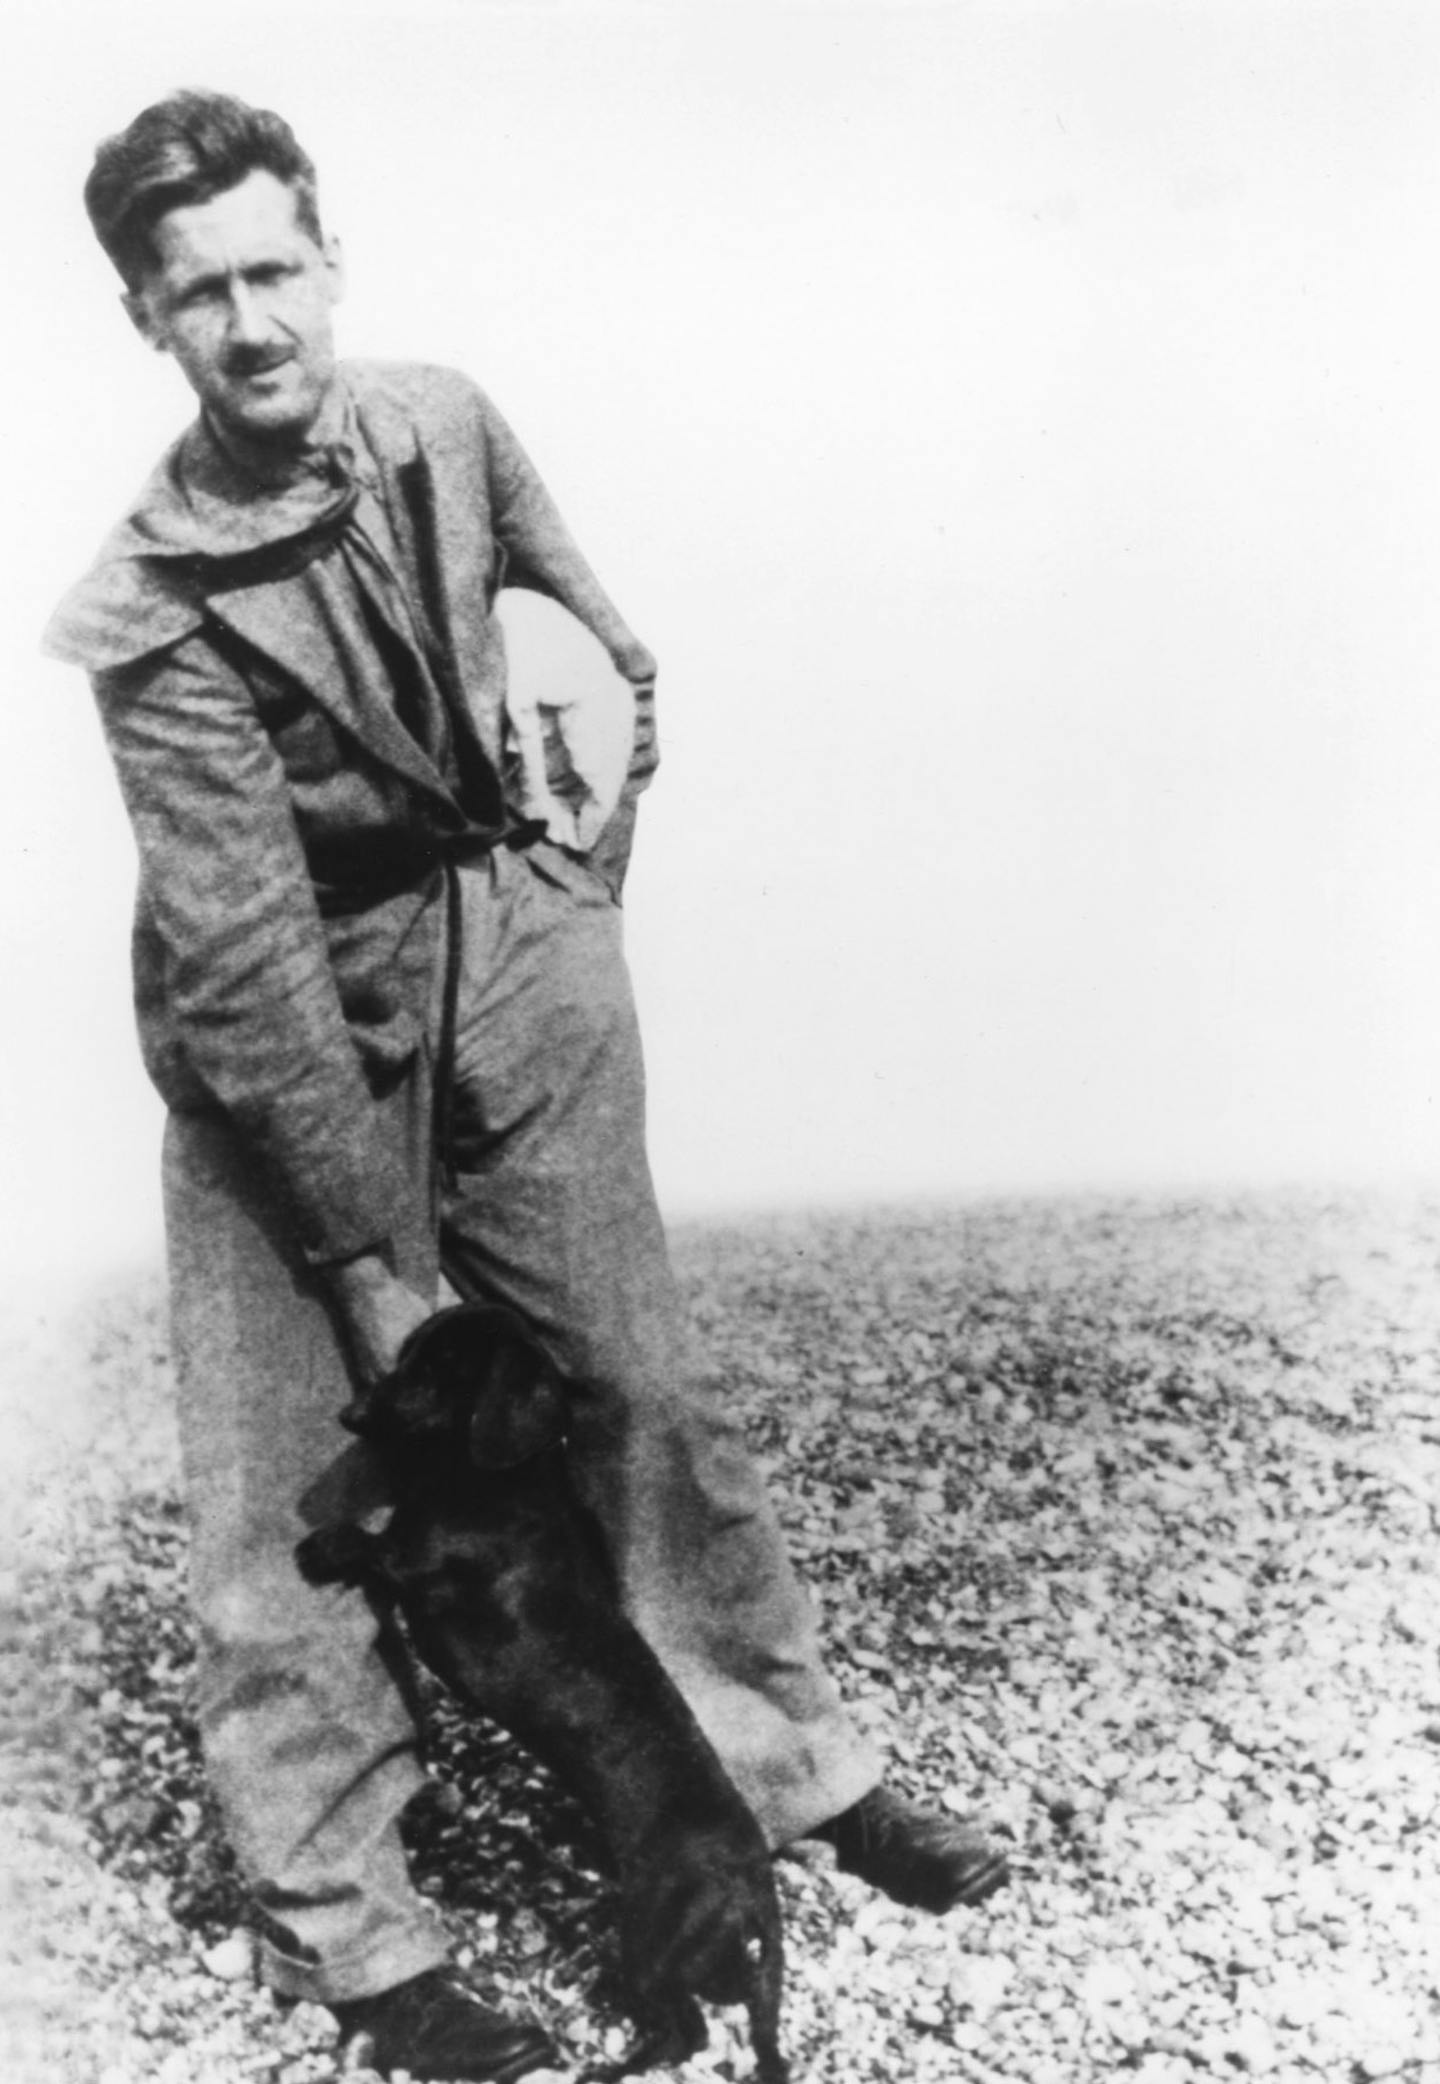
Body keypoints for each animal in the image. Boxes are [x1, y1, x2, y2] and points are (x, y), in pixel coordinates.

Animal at [295, 1308, 787, 2075]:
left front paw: (320, 1547)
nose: (351, 1414)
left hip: (648, 1944)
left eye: (439, 1368)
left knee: (687, 2033)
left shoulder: (422, 1568)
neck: (501, 1484)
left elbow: (373, 1546)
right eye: (405, 1355)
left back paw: (610, 2068)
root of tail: (750, 1888)